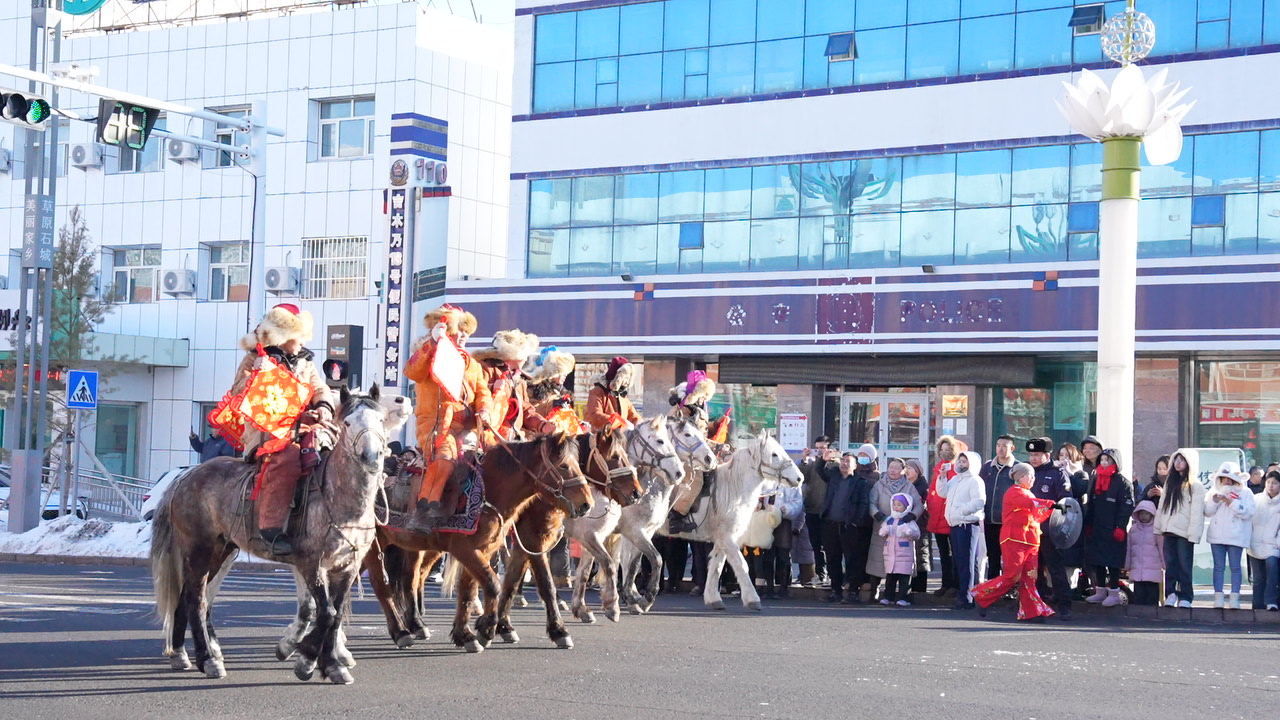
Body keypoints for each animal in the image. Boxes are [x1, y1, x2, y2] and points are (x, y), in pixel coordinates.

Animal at [149, 385, 401, 684]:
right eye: (348, 423)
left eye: (381, 421)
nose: (371, 457)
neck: (337, 496)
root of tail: (185, 477)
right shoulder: (311, 562)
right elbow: (326, 612)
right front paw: (307, 660)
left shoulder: (346, 566)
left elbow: (335, 614)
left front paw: (330, 664)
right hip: (198, 548)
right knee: (196, 599)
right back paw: (208, 660)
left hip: (221, 550)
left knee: (190, 596)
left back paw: (183, 654)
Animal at [366, 431, 592, 653]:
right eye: (563, 465)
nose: (587, 504)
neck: (489, 490)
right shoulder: (470, 549)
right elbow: (494, 584)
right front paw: (487, 629)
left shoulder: (492, 549)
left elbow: (477, 589)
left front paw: (467, 634)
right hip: (374, 545)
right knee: (382, 586)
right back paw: (401, 632)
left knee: (411, 579)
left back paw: (416, 624)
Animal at [565, 416, 717, 623]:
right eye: (687, 434)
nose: (711, 459)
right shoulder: (633, 531)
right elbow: (654, 559)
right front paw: (642, 599)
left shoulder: (643, 532)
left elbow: (634, 563)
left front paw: (631, 598)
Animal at [627, 430, 802, 611]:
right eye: (774, 454)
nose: (799, 478)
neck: (733, 488)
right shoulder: (727, 538)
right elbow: (741, 564)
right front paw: (753, 600)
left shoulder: (723, 538)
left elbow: (716, 566)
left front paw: (713, 599)